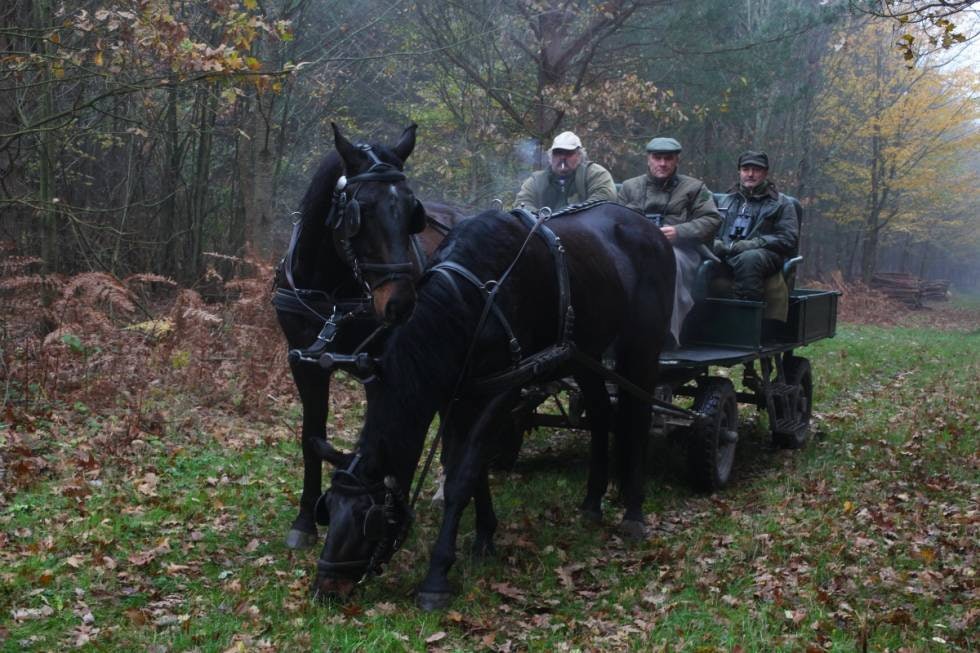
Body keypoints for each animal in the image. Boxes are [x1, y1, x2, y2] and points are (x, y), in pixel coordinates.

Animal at [272, 123, 464, 552]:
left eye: (411, 209)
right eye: (362, 211)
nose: (401, 303)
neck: (332, 294)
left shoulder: (381, 367)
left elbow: (392, 429)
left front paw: (391, 509)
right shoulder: (304, 363)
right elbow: (312, 436)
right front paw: (305, 520)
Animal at [310, 202, 676, 608]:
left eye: (368, 519)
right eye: (328, 508)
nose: (324, 589)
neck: (471, 296)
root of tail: (651, 228)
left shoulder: (504, 389)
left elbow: (463, 475)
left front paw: (437, 576)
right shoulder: (458, 394)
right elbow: (472, 469)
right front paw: (485, 536)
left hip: (642, 350)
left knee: (638, 419)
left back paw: (634, 512)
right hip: (585, 355)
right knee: (600, 413)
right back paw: (592, 503)